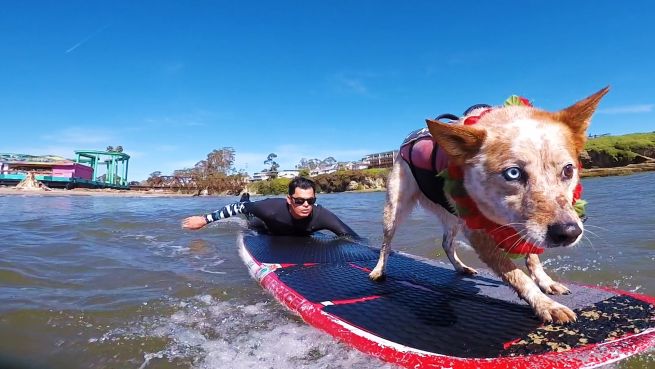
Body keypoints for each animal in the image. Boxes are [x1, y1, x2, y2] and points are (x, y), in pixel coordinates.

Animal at [368, 86, 608, 322]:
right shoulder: (478, 231)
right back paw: (379, 270)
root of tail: (405, 143)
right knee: (386, 244)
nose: (569, 232)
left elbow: (532, 258)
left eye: (568, 170)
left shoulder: (522, 226)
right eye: (513, 173)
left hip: (454, 215)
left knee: (446, 243)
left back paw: (461, 267)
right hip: (395, 209)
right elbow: (516, 274)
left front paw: (546, 282)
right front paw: (544, 304)